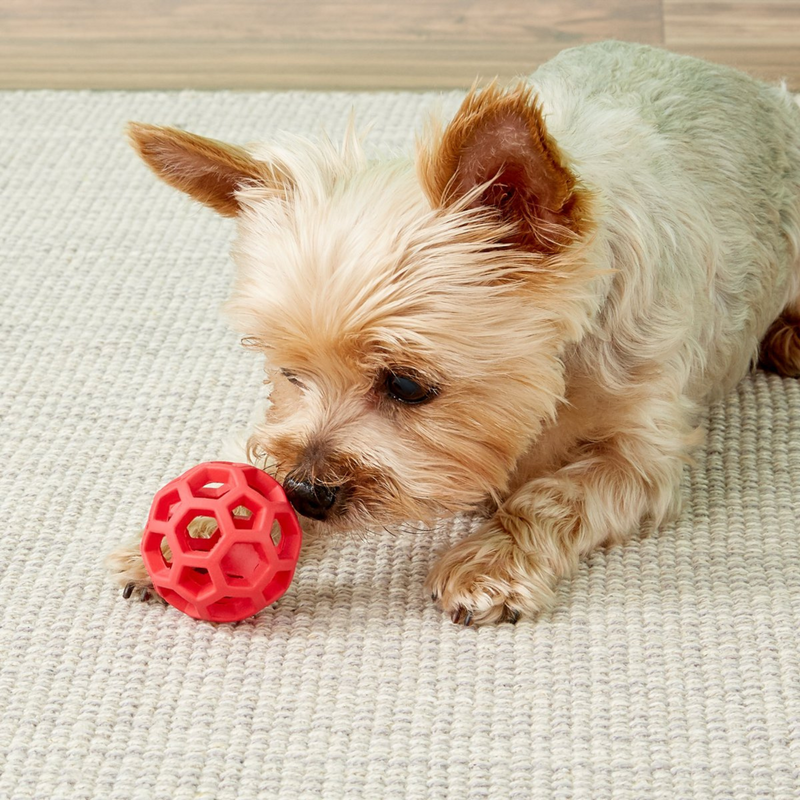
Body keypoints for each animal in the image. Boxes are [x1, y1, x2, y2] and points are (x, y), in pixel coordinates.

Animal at [106, 42, 800, 624]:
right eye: (289, 372)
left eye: (408, 386)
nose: (304, 493)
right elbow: (255, 456)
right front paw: (191, 536)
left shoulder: (644, 455)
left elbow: (552, 496)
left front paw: (490, 563)